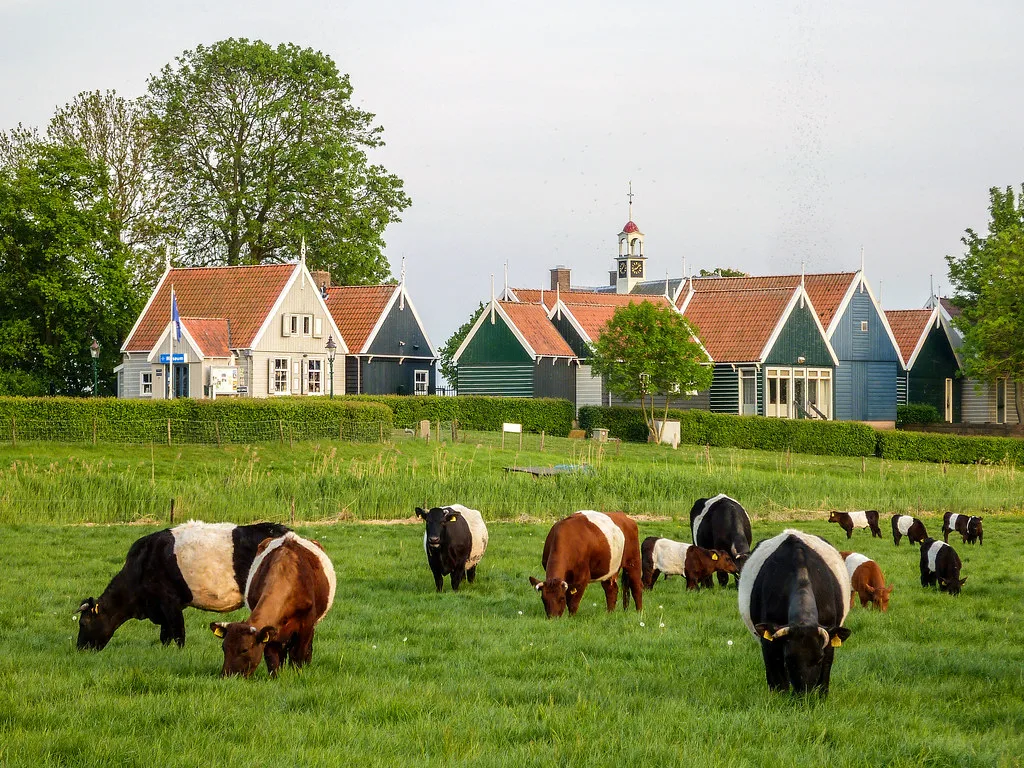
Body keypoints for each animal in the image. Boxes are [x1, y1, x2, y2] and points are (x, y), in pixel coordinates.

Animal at [207, 536, 335, 679]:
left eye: (244, 649)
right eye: (223, 647)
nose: (227, 676)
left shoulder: (306, 625)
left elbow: (298, 655)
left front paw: (297, 675)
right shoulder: (271, 632)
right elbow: (272, 658)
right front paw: (275, 677)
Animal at [741, 528, 851, 696]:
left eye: (819, 659)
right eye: (788, 659)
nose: (804, 694)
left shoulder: (830, 639)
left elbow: (824, 678)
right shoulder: (770, 645)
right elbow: (779, 683)